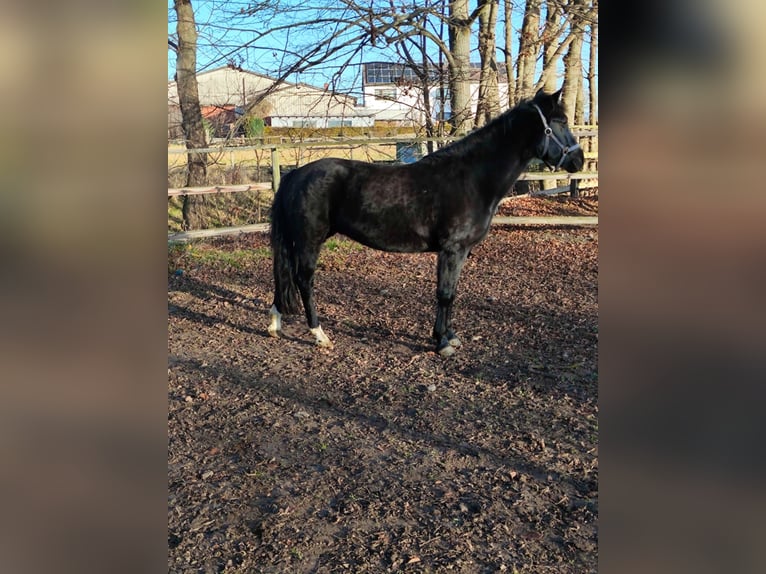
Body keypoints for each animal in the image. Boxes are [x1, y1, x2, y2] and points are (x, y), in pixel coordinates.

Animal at [267, 88, 584, 356]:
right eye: (560, 122)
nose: (579, 160)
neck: (471, 179)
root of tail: (295, 175)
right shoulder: (452, 249)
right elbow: (444, 294)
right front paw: (443, 342)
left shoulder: (460, 251)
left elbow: (452, 293)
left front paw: (449, 335)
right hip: (309, 240)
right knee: (304, 280)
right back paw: (319, 335)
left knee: (284, 276)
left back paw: (275, 323)